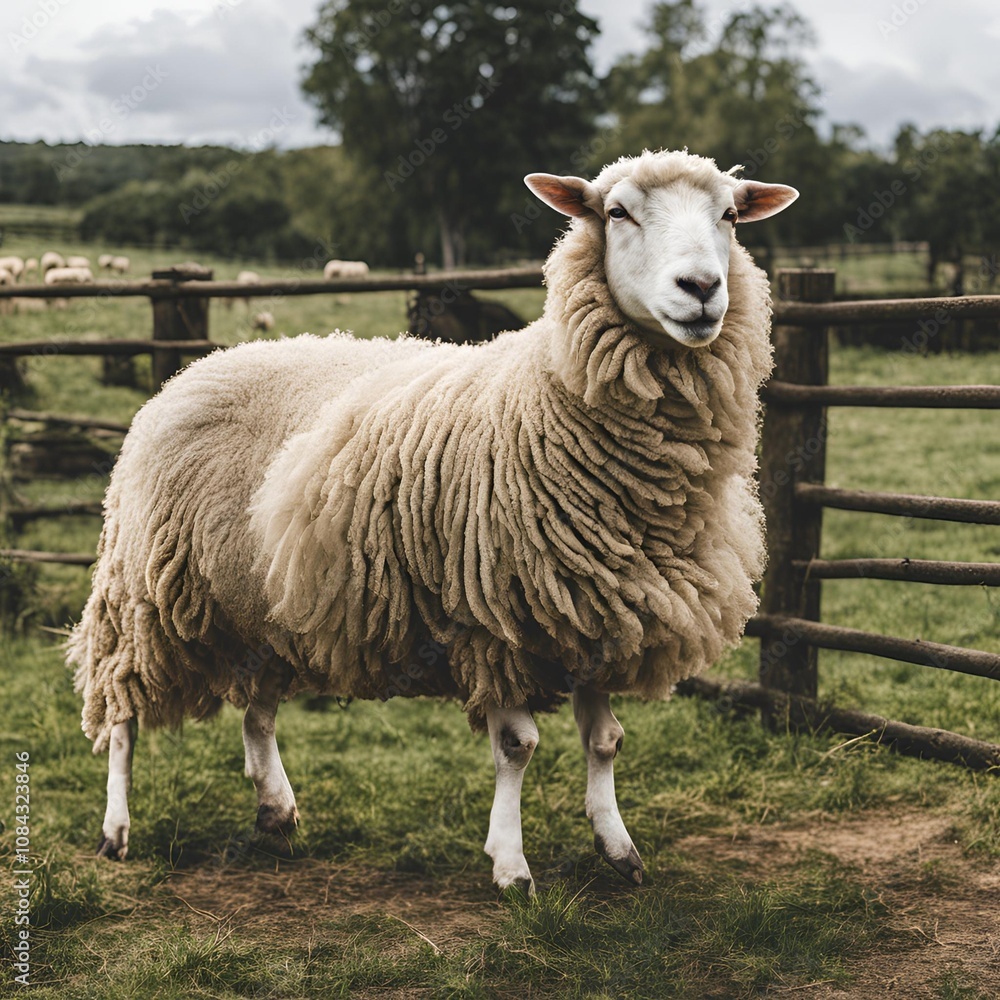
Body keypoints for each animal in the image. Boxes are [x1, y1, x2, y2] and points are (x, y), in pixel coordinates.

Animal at [69, 149, 797, 890]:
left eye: (730, 214)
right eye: (616, 212)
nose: (702, 287)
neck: (545, 398)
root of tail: (195, 368)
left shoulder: (596, 609)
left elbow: (606, 741)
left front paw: (617, 846)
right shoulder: (493, 616)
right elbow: (518, 745)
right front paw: (510, 864)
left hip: (265, 598)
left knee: (259, 710)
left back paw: (276, 810)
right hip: (142, 594)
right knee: (122, 709)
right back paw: (116, 830)